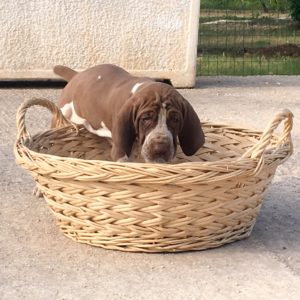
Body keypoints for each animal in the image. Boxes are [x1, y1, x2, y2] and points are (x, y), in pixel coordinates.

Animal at [53, 63, 204, 162]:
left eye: (175, 119)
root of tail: (78, 75)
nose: (160, 148)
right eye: (145, 119)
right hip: (65, 109)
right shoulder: (121, 148)